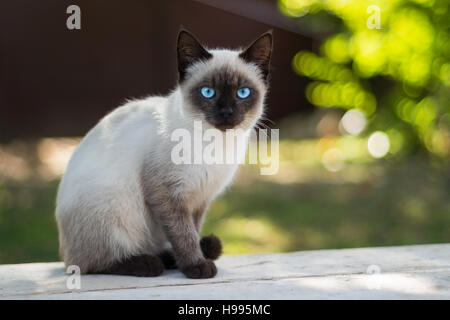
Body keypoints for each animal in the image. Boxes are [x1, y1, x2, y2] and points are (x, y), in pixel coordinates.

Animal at [56, 26, 274, 278]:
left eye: (243, 93)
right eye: (208, 92)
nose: (227, 112)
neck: (216, 144)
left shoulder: (199, 199)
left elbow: (192, 232)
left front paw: (191, 261)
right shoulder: (167, 194)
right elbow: (184, 235)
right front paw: (197, 267)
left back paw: (169, 258)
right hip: (112, 211)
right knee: (90, 265)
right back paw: (148, 264)